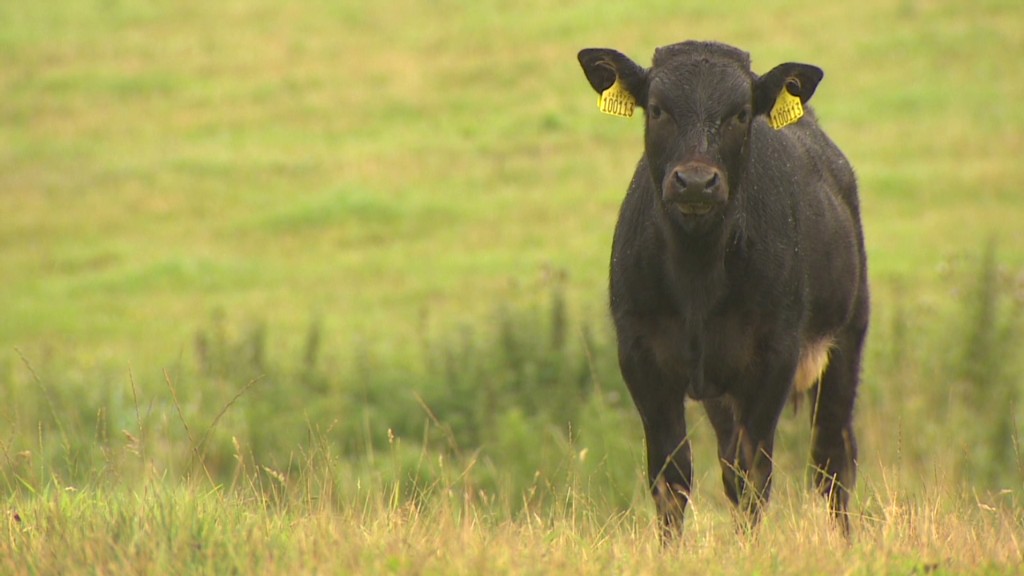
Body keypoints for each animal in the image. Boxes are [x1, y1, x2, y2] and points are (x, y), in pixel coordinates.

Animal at [581, 41, 868, 537]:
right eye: (657, 109)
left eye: (740, 113)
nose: (696, 181)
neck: (698, 280)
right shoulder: (641, 358)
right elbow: (671, 477)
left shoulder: (774, 356)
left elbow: (756, 474)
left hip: (847, 339)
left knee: (833, 460)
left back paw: (847, 542)